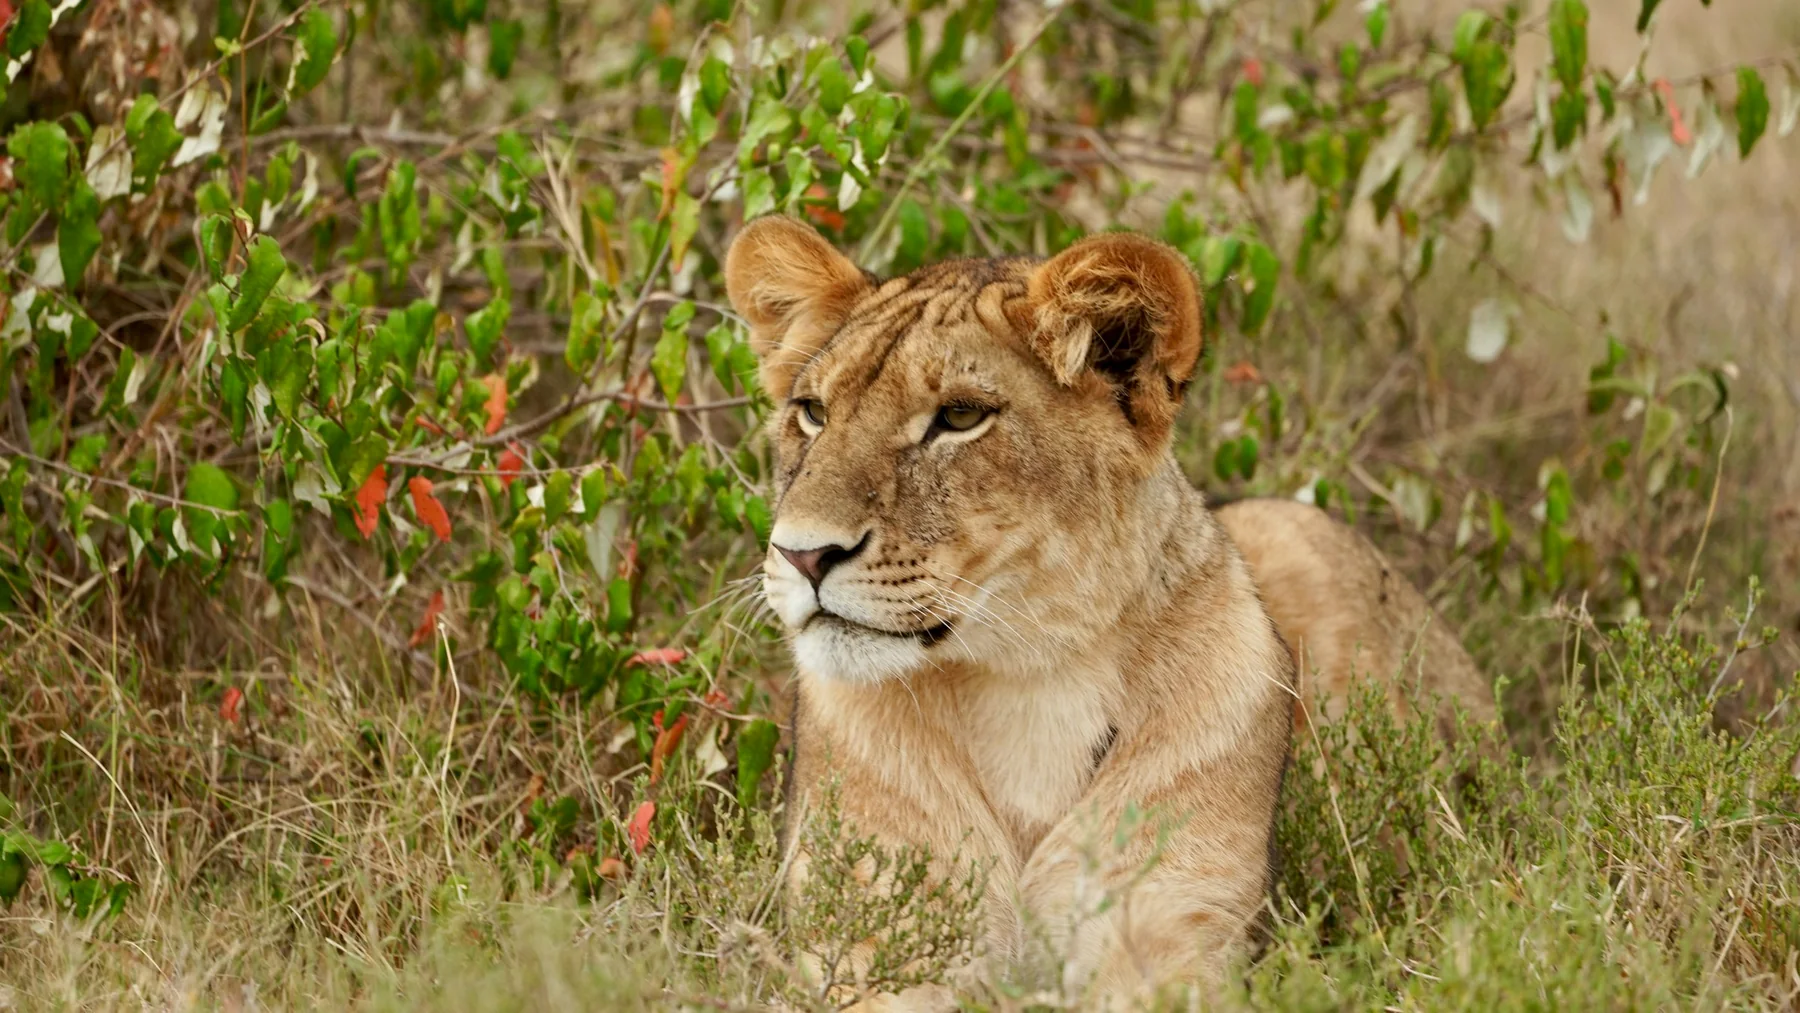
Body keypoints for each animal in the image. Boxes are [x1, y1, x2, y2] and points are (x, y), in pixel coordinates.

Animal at [723, 216, 1493, 1009]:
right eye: (813, 413)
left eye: (960, 417)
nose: (801, 555)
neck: (1025, 681)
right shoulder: (875, 942)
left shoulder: (1175, 931)